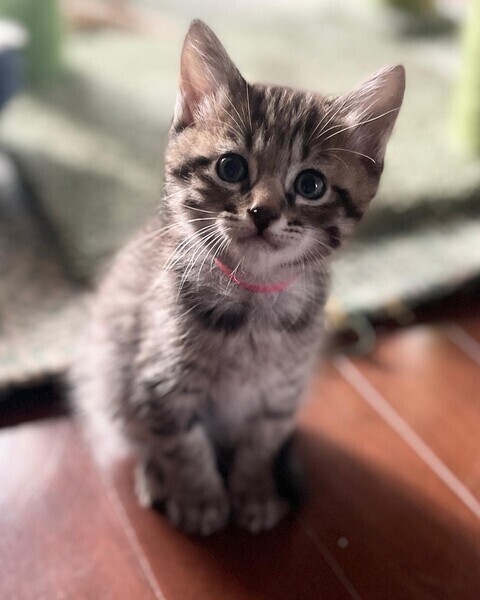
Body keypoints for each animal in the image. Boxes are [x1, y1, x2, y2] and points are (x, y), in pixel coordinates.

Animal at [72, 20, 405, 536]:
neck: (253, 303)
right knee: (136, 434)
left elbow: (258, 448)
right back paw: (156, 476)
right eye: (231, 167)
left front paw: (254, 493)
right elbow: (184, 447)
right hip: (107, 373)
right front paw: (201, 500)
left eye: (311, 185)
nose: (262, 212)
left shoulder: (279, 396)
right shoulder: (161, 386)